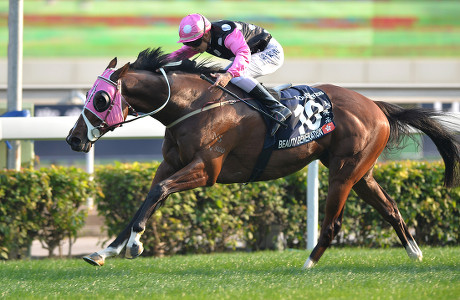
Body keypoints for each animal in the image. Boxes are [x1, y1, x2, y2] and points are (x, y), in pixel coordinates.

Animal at [65, 48, 460, 268]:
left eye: (100, 98)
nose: (73, 139)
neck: (191, 105)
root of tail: (376, 106)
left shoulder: (206, 170)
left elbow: (159, 192)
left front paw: (134, 244)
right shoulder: (171, 163)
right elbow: (146, 198)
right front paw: (106, 251)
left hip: (344, 174)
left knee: (333, 224)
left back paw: (306, 265)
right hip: (361, 173)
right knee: (390, 208)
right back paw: (414, 254)